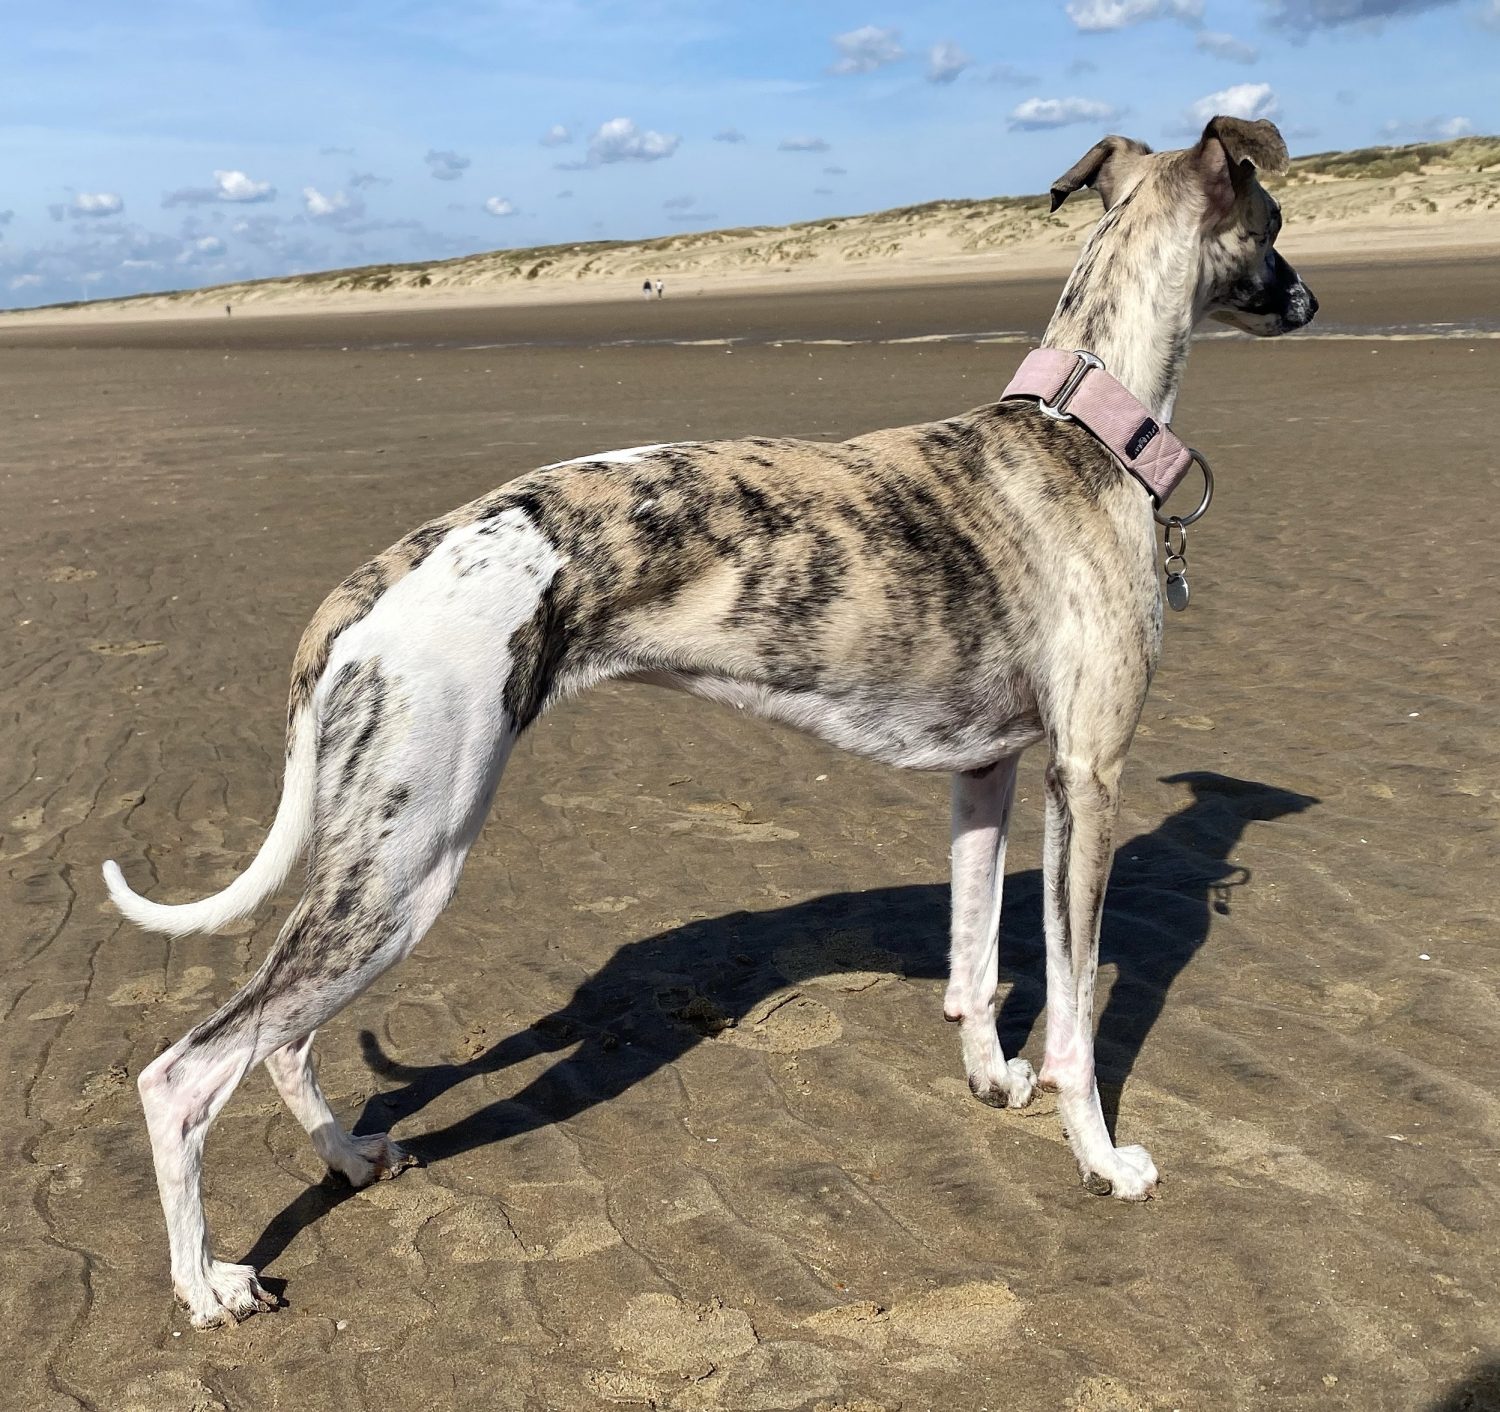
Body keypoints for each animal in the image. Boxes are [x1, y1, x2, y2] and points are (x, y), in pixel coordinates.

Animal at [104, 116, 1316, 1327]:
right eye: (1275, 223)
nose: (1309, 302)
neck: (1086, 430)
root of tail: (371, 585)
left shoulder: (987, 774)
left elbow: (973, 961)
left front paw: (989, 1078)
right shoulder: (1087, 777)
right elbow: (1075, 1008)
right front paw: (1103, 1159)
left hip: (380, 863)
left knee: (280, 1041)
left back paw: (352, 1156)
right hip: (410, 860)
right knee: (184, 1071)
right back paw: (206, 1282)